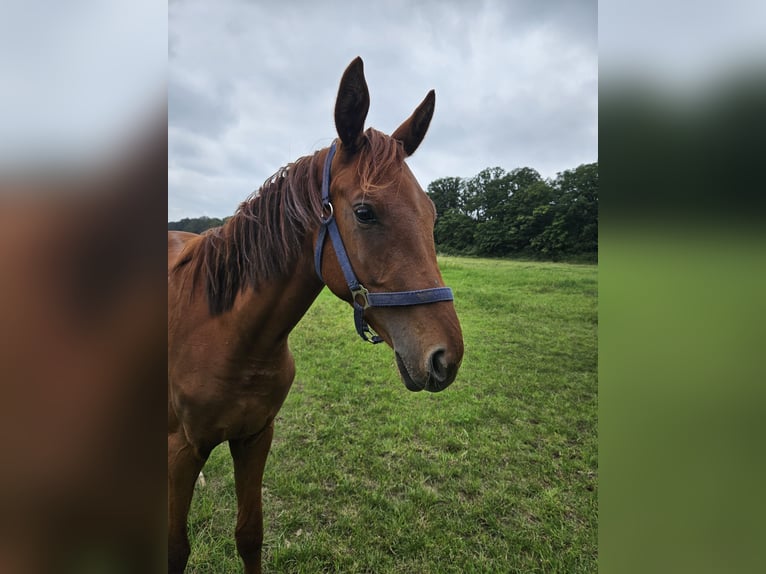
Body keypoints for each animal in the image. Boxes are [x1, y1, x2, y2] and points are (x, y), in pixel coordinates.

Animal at [168, 59, 464, 574]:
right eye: (365, 212)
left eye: (430, 213)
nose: (446, 357)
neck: (226, 336)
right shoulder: (182, 450)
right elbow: (175, 548)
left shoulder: (255, 437)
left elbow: (249, 534)